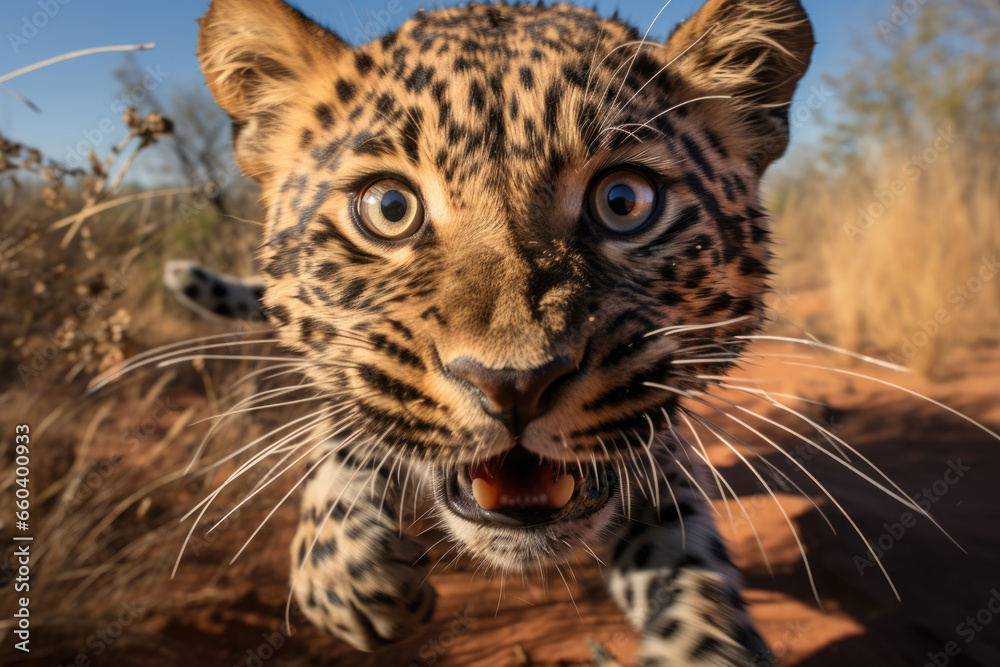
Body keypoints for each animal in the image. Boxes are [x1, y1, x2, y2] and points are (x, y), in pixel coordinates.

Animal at [184, 0, 816, 664]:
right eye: (389, 208)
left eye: (624, 201)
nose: (515, 385)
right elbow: (348, 442)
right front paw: (353, 580)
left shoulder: (652, 448)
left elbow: (691, 583)